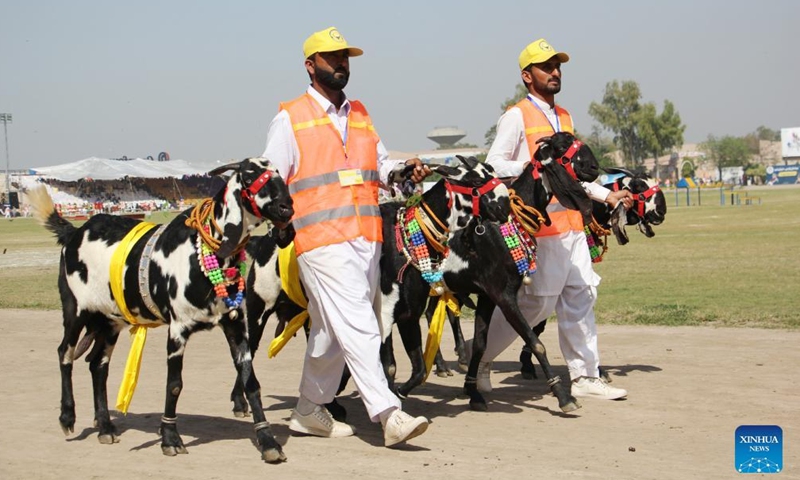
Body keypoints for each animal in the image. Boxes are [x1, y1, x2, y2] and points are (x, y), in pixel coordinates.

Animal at [30, 158, 296, 464]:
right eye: (250, 175)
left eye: (278, 172)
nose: (287, 207)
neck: (203, 254)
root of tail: (74, 232)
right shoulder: (178, 329)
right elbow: (174, 385)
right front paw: (170, 437)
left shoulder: (235, 325)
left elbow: (251, 382)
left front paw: (268, 442)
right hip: (76, 310)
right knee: (65, 353)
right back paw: (67, 416)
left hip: (109, 322)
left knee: (97, 364)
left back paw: (105, 425)